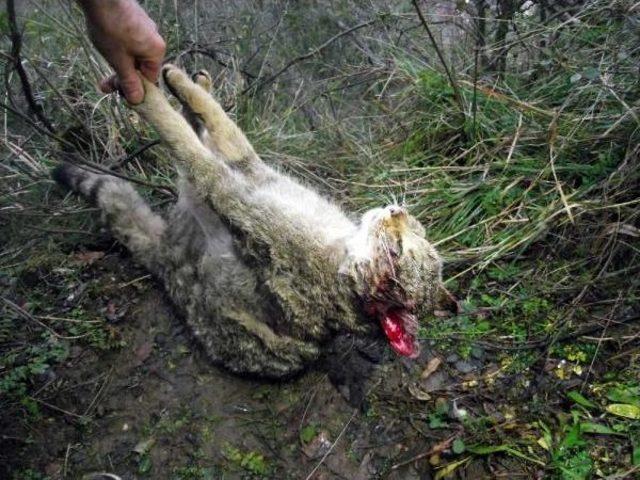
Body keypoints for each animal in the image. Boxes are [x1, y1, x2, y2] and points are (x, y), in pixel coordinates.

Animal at [53, 63, 440, 392]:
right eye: (414, 233)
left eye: (396, 251)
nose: (397, 211)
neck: (338, 242)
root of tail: (167, 257)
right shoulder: (255, 174)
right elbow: (225, 128)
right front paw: (187, 88)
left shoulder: (232, 193)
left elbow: (190, 147)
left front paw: (148, 94)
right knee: (201, 140)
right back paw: (195, 83)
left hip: (197, 210)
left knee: (188, 160)